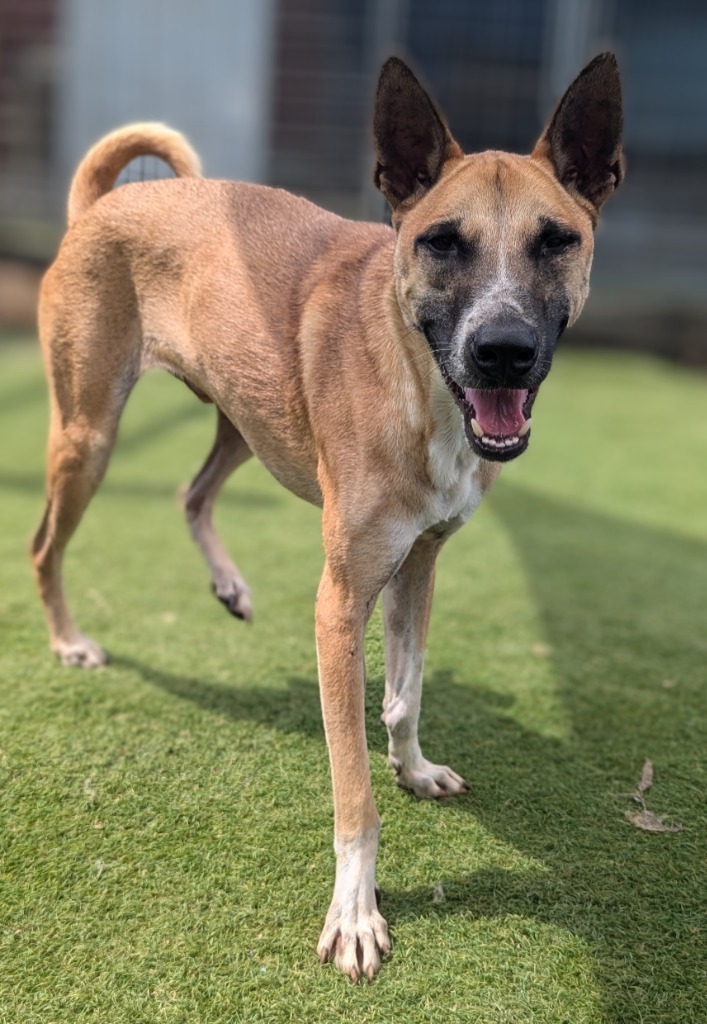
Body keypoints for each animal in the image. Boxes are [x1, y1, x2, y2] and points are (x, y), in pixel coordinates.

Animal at [33, 54, 618, 974]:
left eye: (556, 240)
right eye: (440, 241)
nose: (502, 352)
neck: (421, 388)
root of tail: (103, 203)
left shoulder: (419, 564)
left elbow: (405, 694)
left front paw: (413, 767)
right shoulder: (340, 604)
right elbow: (354, 792)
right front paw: (354, 912)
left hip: (247, 416)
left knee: (190, 491)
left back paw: (229, 585)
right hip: (87, 437)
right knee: (41, 545)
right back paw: (69, 641)